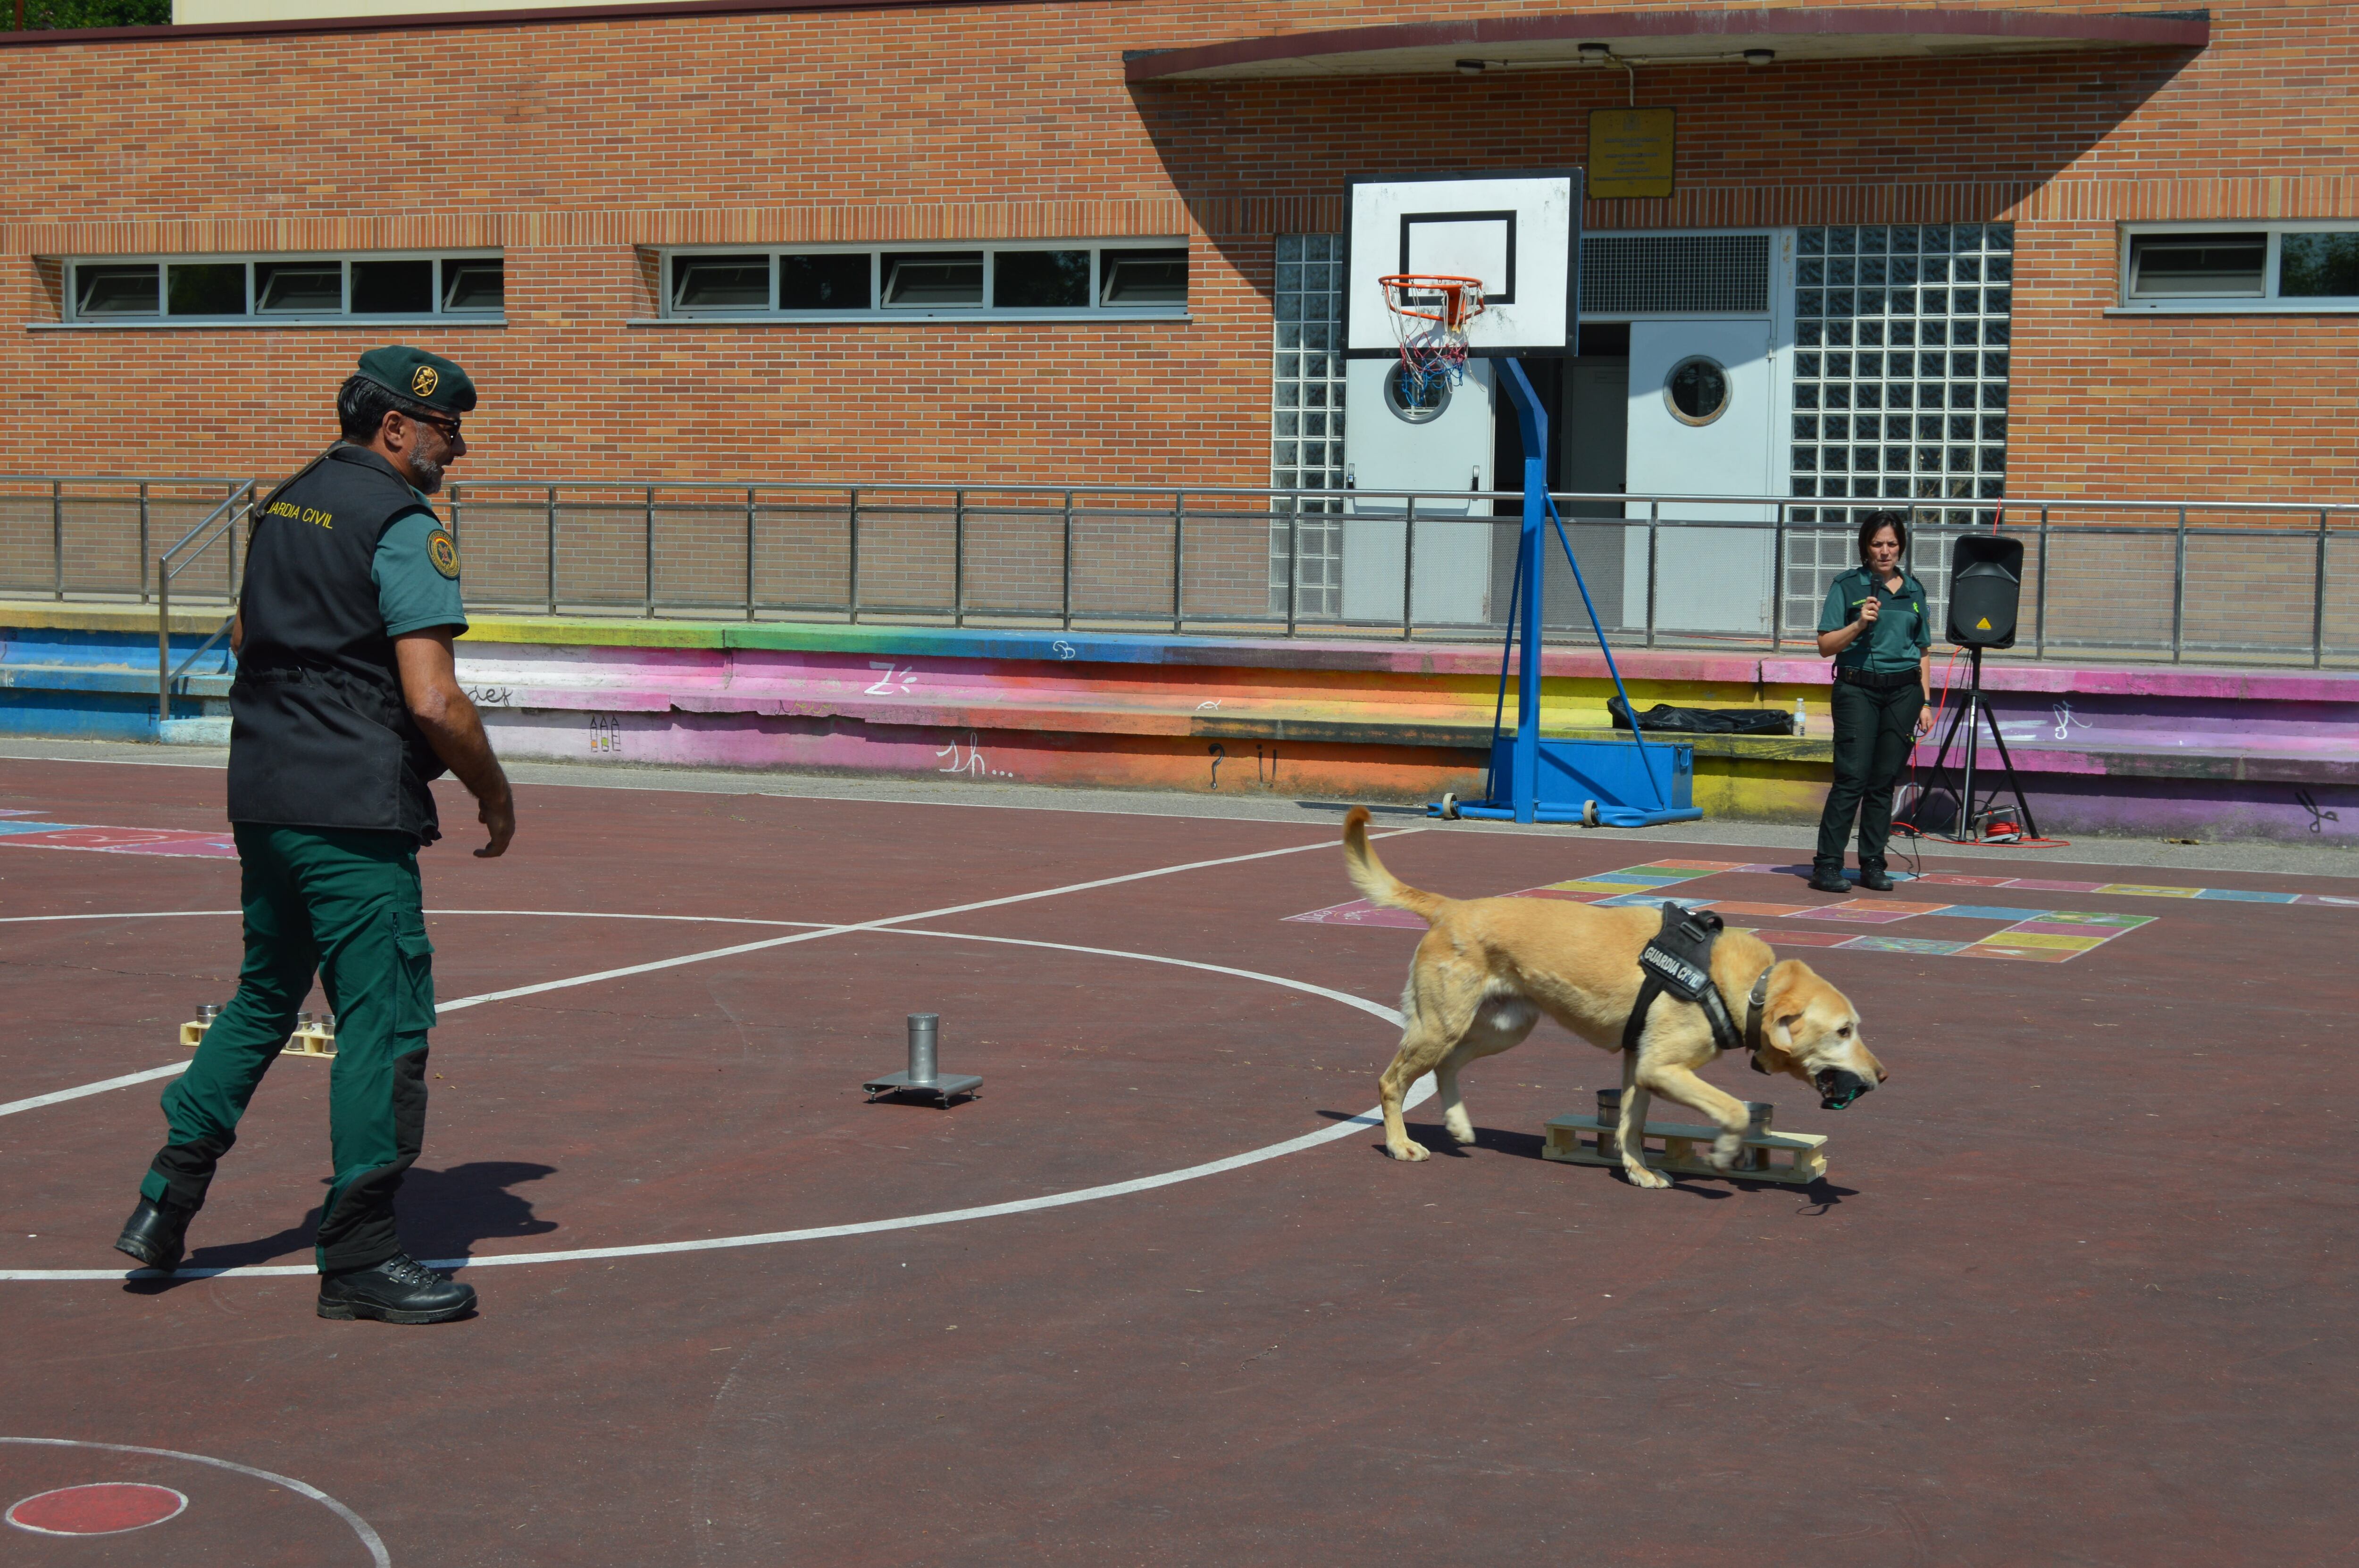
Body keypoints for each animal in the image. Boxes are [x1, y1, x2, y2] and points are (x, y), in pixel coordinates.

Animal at [1340, 806, 1887, 1188]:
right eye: (1843, 1031)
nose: (1882, 1076)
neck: (1742, 984)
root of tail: (1450, 908)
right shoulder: (1660, 1066)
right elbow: (1731, 1110)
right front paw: (1722, 1153)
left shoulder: (1638, 1066)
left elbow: (1630, 1124)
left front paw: (1638, 1170)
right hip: (1443, 1025)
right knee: (1391, 1082)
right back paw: (1400, 1144)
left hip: (1504, 1028)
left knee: (1447, 1066)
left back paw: (1457, 1125)